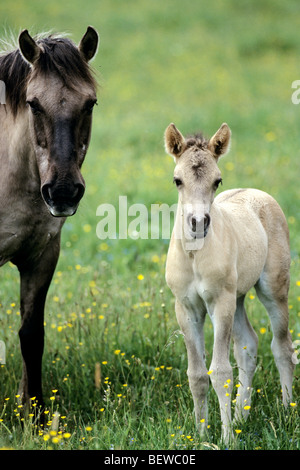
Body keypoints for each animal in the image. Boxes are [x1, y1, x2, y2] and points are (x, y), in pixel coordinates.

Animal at [0, 25, 98, 410]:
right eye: (33, 103)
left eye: (90, 103)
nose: (63, 192)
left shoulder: (42, 256)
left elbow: (31, 335)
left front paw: (35, 411)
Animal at [164, 122, 296, 444]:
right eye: (177, 180)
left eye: (217, 181)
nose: (198, 223)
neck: (195, 255)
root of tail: (258, 193)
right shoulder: (186, 308)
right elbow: (197, 374)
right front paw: (200, 433)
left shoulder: (219, 303)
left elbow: (221, 371)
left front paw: (225, 439)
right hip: (237, 299)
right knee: (248, 347)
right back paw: (240, 416)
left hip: (272, 290)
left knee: (282, 346)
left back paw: (286, 410)